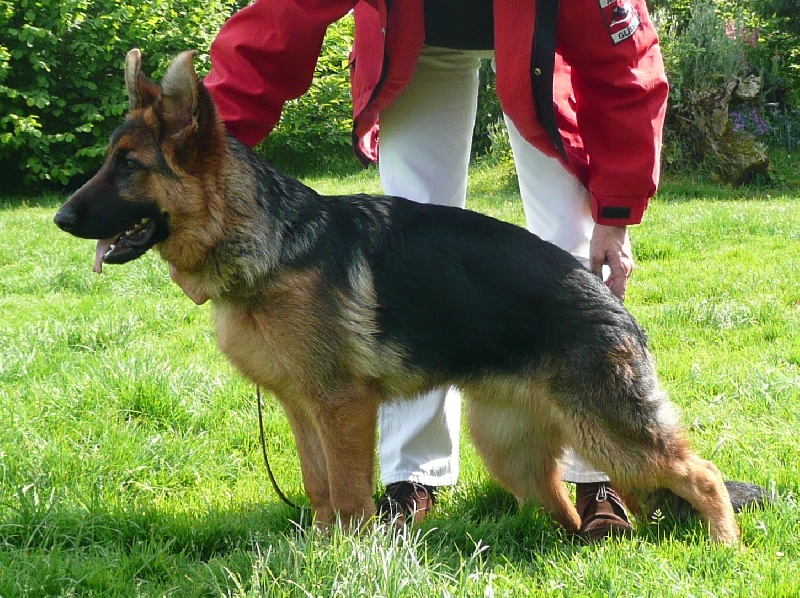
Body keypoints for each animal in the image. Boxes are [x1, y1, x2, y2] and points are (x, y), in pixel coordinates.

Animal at [54, 49, 740, 544]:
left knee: (702, 475)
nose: (60, 218)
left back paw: (724, 548)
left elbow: (350, 493)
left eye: (128, 166)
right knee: (561, 503)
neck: (269, 240)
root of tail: (612, 303)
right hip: (509, 448)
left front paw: (348, 558)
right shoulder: (302, 409)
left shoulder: (343, 407)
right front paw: (320, 548)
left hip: (608, 432)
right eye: (110, 161)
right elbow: (319, 489)